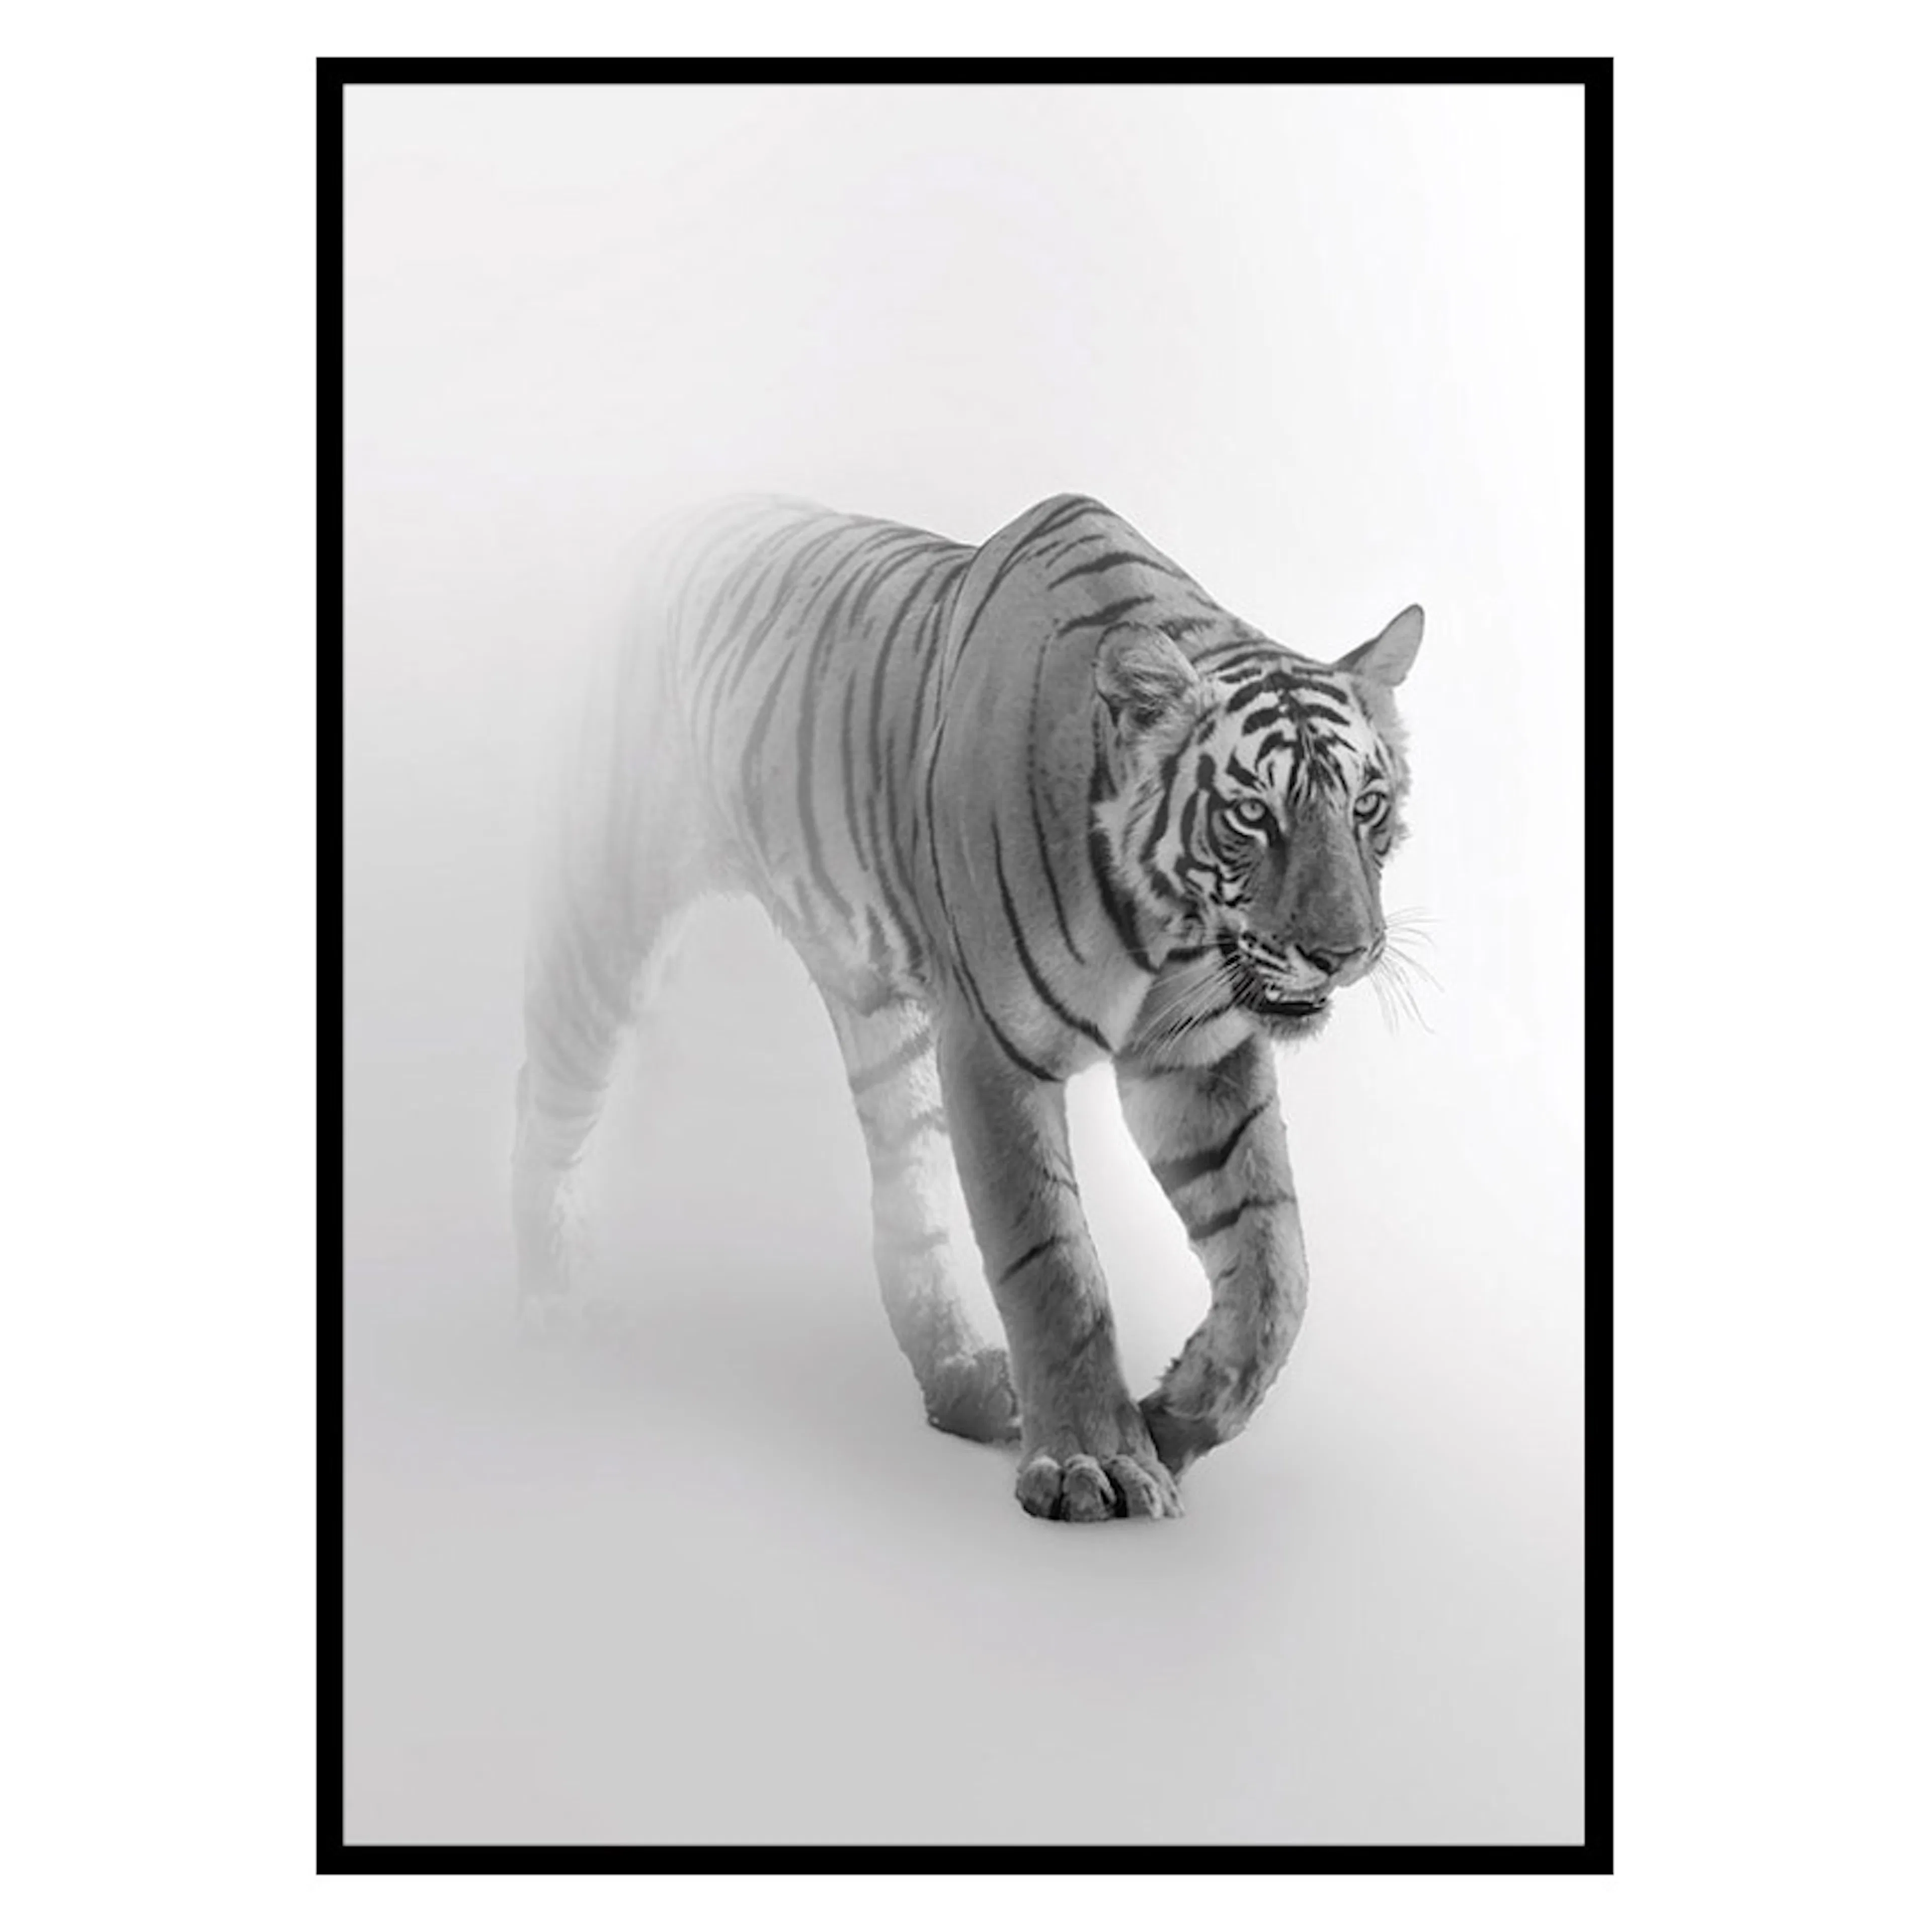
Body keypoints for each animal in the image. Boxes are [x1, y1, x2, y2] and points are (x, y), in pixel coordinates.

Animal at [513, 491, 1424, 1523]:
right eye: (1252, 816)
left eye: (1367, 807)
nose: (1344, 954)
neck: (1168, 930)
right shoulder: (995, 1047)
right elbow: (1053, 1263)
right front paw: (1095, 1461)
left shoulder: (1195, 1057)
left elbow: (1277, 1264)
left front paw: (1179, 1416)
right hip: (607, 906)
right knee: (547, 1093)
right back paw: (547, 1299)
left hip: (883, 1020)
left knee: (906, 1203)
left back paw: (960, 1383)